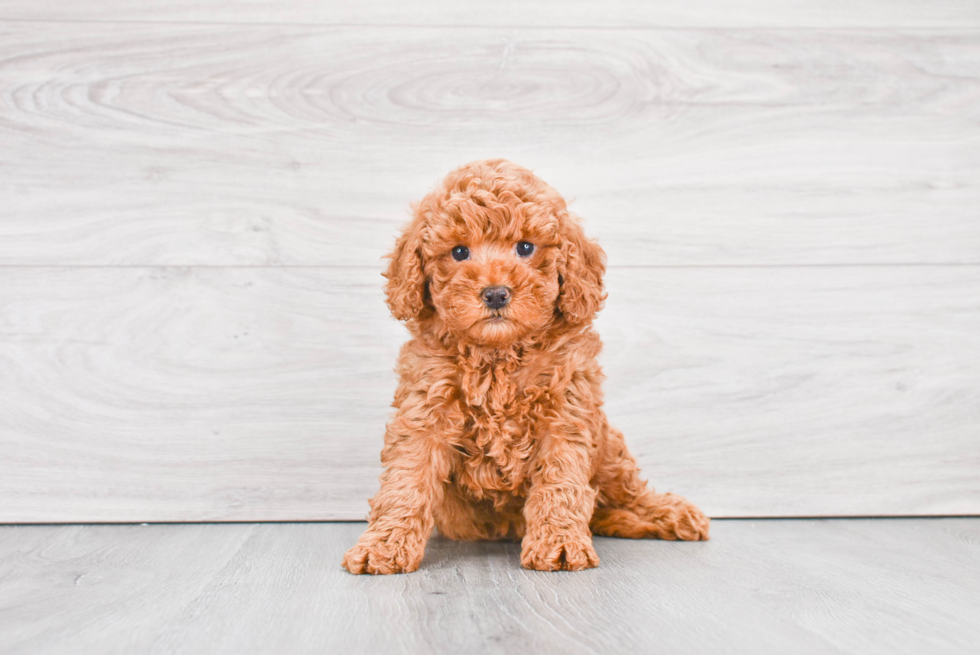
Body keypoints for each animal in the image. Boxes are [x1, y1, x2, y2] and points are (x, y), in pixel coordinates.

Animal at [340, 159, 708, 576]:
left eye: (526, 247)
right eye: (459, 252)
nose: (496, 293)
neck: (498, 356)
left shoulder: (565, 409)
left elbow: (560, 482)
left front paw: (559, 543)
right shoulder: (425, 410)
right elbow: (406, 481)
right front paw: (383, 544)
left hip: (609, 449)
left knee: (622, 494)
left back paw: (670, 514)